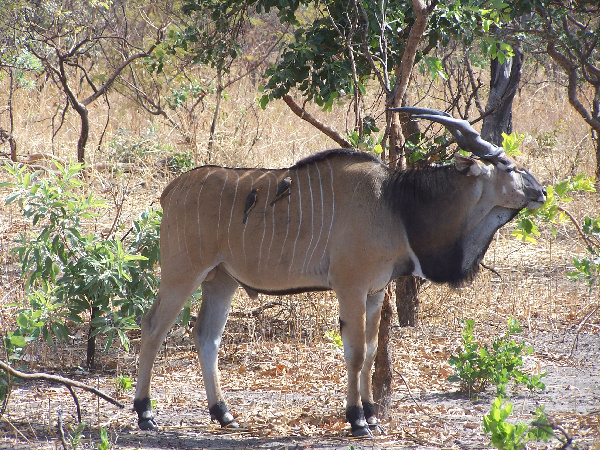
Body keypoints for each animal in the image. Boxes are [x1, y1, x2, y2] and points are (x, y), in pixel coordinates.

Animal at [134, 108, 548, 436]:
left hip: (222, 280)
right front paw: (358, 420)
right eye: (509, 167)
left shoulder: (375, 292)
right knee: (153, 327)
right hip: (182, 274)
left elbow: (371, 349)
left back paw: (224, 415)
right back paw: (145, 414)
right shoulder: (350, 287)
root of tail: (172, 190)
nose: (541, 191)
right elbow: (355, 352)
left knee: (207, 336)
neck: (394, 203)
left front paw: (373, 416)